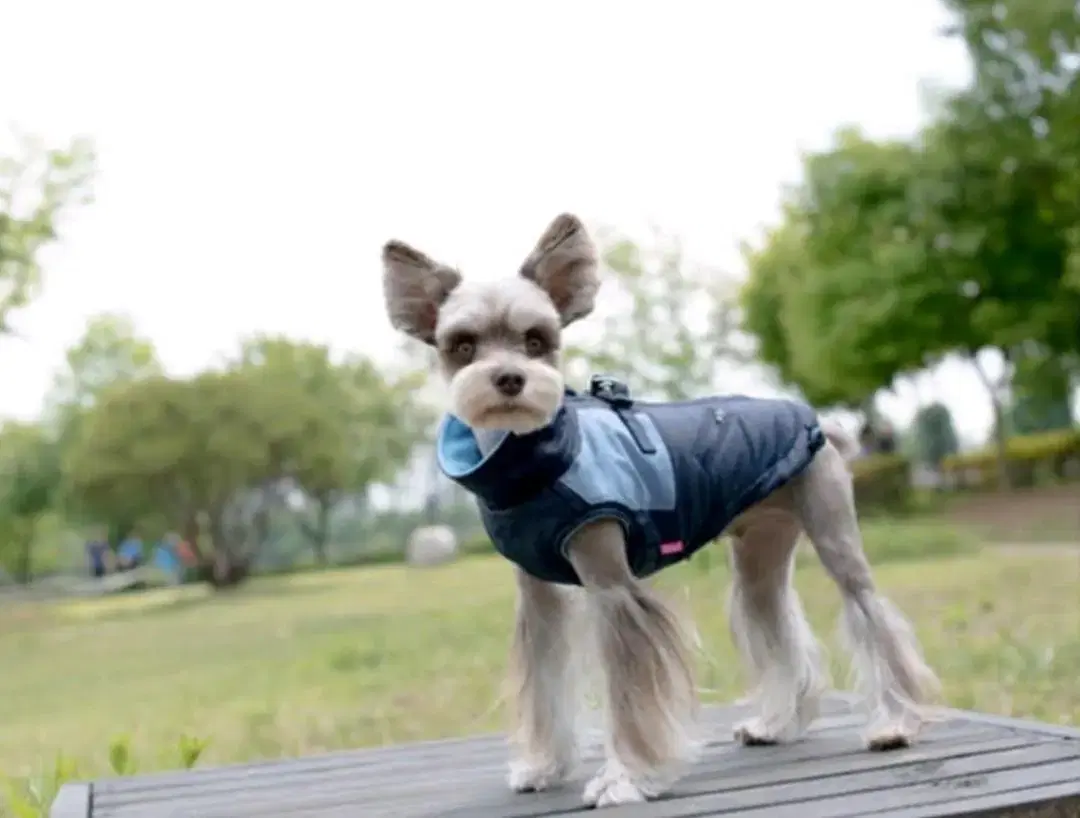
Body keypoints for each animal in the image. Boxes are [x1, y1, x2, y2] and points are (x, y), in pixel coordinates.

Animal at [380, 210, 937, 803]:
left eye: (536, 340)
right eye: (462, 345)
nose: (509, 378)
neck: (536, 461)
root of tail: (819, 424)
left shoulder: (614, 589)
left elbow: (628, 696)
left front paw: (624, 778)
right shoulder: (539, 599)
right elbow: (545, 685)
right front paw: (544, 766)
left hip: (832, 532)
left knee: (870, 613)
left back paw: (896, 724)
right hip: (761, 551)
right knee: (775, 626)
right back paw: (776, 724)